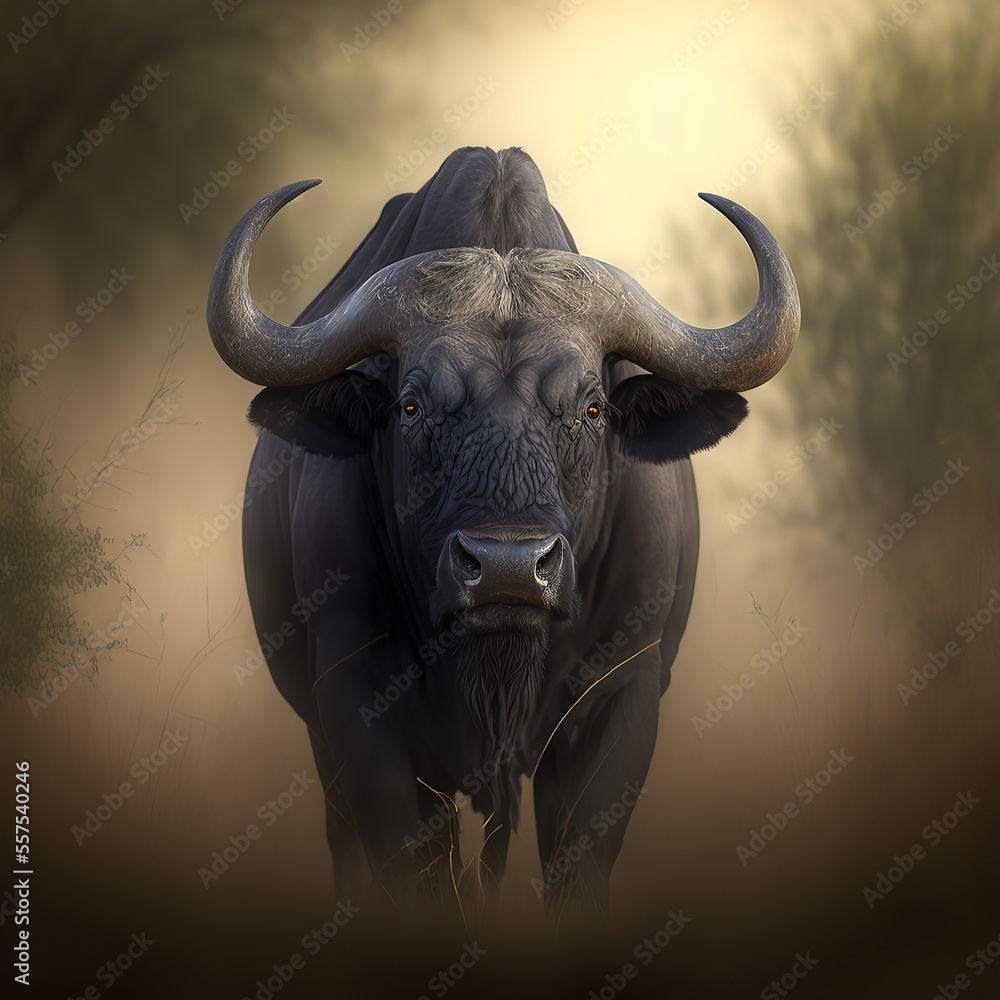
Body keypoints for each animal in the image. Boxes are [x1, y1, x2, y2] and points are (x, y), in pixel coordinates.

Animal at [207, 146, 799, 915]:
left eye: (592, 407)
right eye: (411, 404)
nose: (509, 567)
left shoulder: (620, 697)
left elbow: (578, 873)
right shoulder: (353, 703)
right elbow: (410, 872)